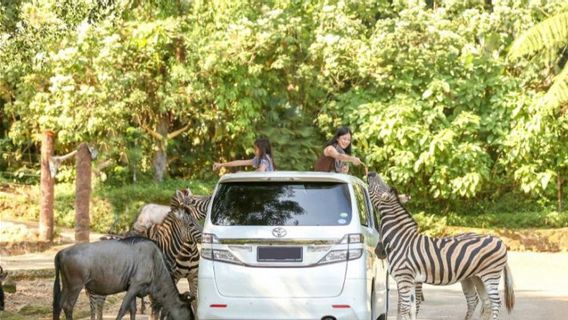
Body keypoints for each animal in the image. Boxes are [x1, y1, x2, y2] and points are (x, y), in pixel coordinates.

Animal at [366, 172, 512, 320]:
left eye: (379, 187)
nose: (371, 173)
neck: (400, 239)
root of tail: (499, 240)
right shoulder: (411, 280)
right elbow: (411, 309)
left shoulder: (404, 278)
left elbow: (404, 309)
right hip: (477, 276)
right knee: (485, 302)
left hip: (490, 274)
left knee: (496, 303)